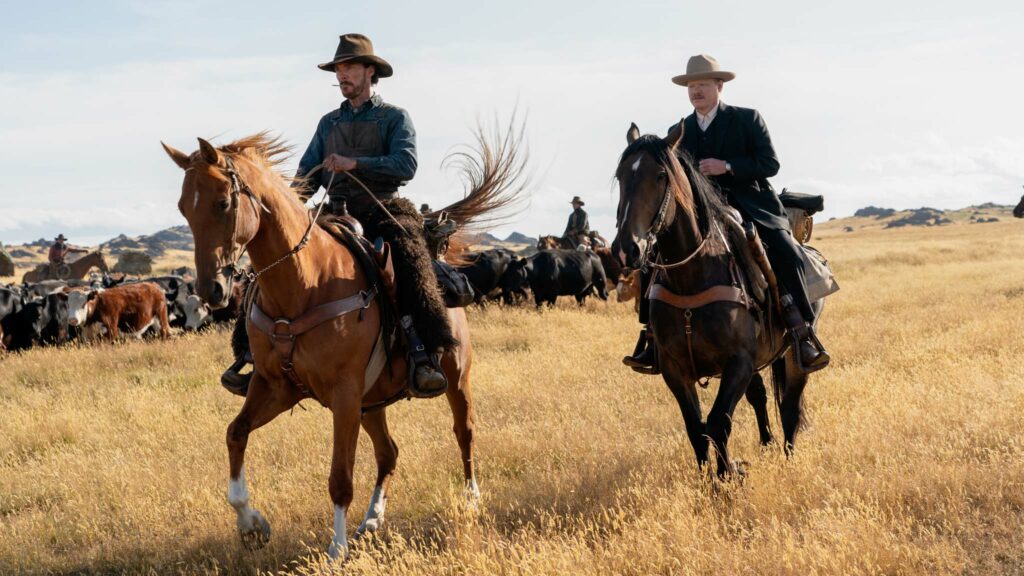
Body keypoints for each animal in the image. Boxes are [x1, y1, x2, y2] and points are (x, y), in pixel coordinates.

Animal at [159, 127, 528, 557]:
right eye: (184, 209)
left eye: (222, 203)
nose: (211, 290)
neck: (305, 282)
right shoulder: (275, 386)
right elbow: (235, 434)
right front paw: (252, 524)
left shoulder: (344, 392)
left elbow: (340, 477)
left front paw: (336, 549)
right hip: (372, 403)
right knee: (388, 452)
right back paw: (372, 520)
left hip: (454, 377)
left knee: (464, 432)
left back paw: (470, 499)